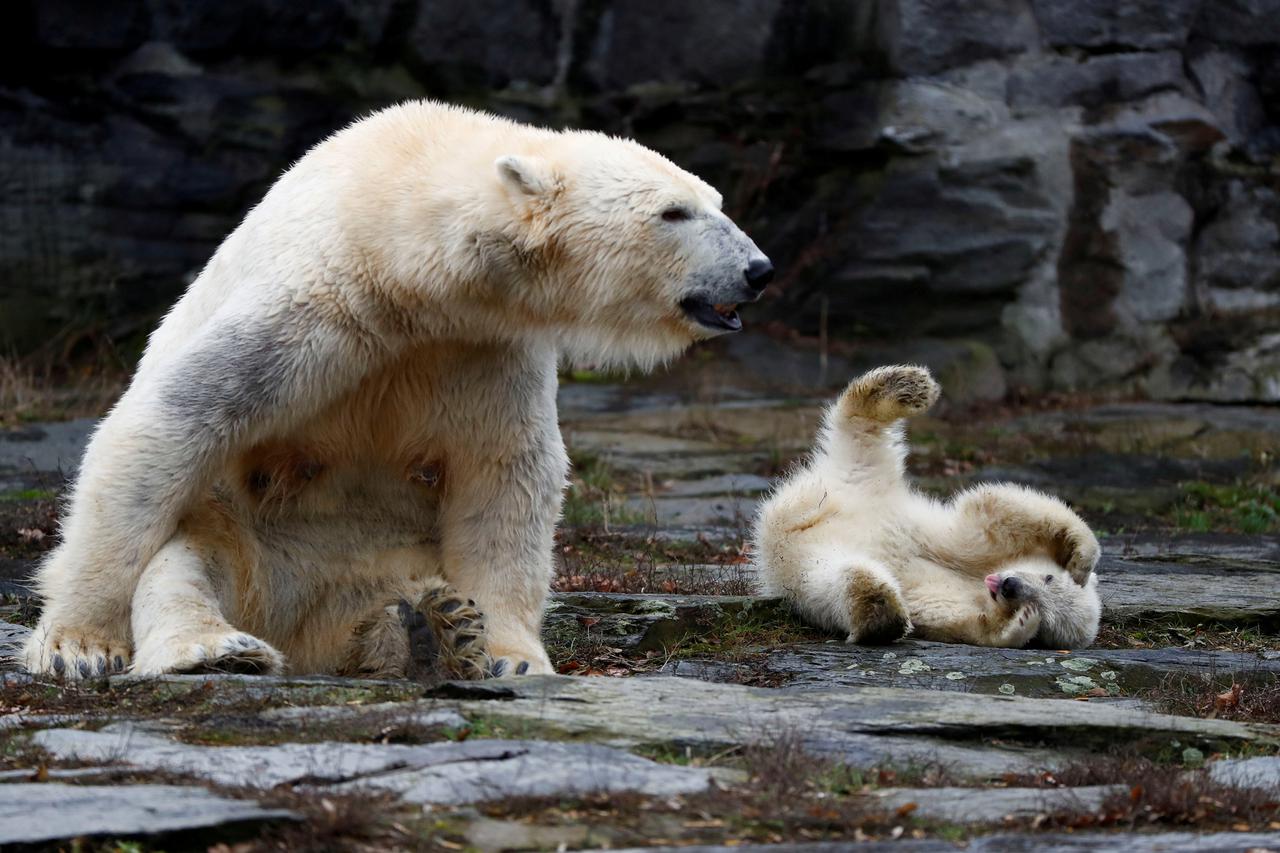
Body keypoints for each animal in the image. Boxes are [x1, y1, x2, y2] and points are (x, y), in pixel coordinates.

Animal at [24, 99, 768, 681]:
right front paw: (76, 645)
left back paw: (424, 630)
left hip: (394, 556)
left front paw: (510, 655)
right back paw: (220, 649)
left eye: (716, 202)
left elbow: (505, 472)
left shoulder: (479, 345)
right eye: (674, 212)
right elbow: (175, 420)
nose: (758, 269)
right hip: (246, 536)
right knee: (187, 566)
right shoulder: (312, 303)